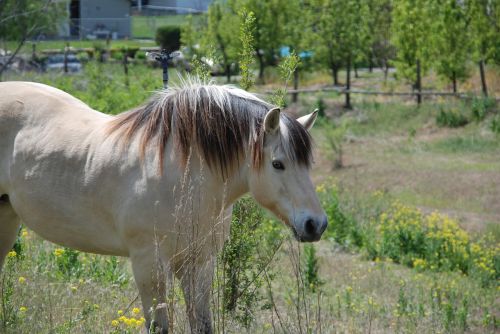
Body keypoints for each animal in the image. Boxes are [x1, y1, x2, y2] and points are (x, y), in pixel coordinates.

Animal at [0, 80, 326, 332]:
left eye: (308, 163)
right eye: (277, 164)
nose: (316, 224)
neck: (181, 174)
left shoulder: (199, 263)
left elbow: (202, 324)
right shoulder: (149, 264)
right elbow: (159, 326)